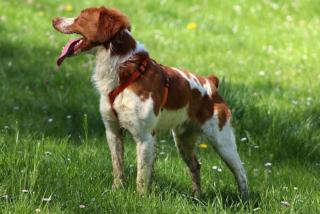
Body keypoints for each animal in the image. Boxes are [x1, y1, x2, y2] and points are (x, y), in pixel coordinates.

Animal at [52, 6, 249, 201]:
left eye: (81, 17)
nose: (54, 19)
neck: (123, 71)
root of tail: (211, 83)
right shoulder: (113, 131)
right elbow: (118, 167)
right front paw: (117, 190)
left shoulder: (145, 136)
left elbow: (142, 175)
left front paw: (139, 199)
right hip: (183, 141)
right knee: (195, 166)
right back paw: (197, 198)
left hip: (222, 141)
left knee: (241, 172)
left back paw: (244, 201)